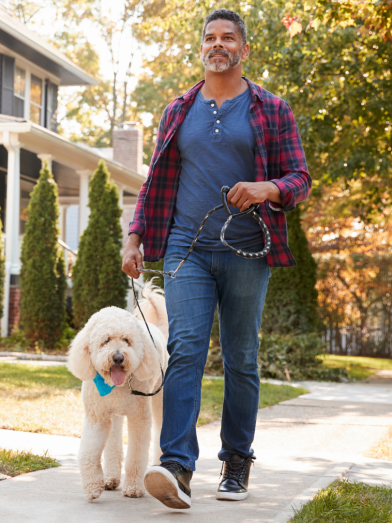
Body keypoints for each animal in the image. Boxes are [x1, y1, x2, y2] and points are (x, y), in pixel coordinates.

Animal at [68, 286, 168, 504]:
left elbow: (137, 456)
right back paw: (111, 478)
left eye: (126, 340)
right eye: (105, 340)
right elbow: (88, 452)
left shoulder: (140, 418)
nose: (118, 357)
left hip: (159, 401)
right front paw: (92, 486)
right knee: (113, 442)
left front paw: (134, 488)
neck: (115, 385)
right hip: (113, 416)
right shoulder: (97, 417)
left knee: (160, 431)